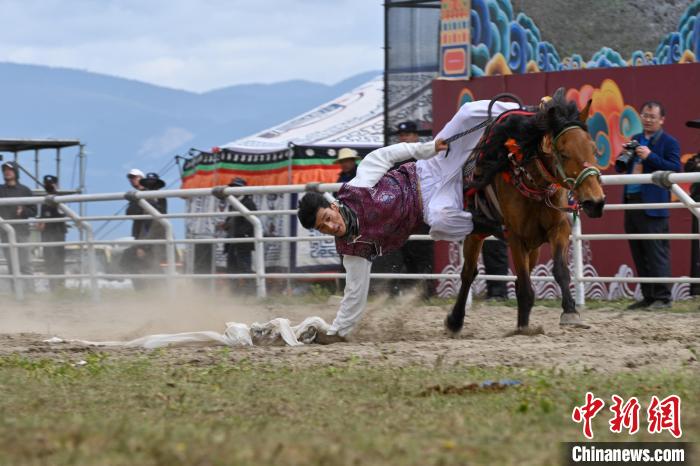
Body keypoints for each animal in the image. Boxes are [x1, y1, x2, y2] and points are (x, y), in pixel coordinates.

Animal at [444, 88, 606, 335]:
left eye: (594, 150)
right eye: (564, 153)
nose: (595, 201)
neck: (532, 179)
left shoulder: (558, 229)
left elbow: (559, 270)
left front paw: (570, 312)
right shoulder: (516, 237)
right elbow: (524, 285)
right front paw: (523, 327)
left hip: (534, 244)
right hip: (476, 232)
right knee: (468, 273)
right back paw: (456, 320)